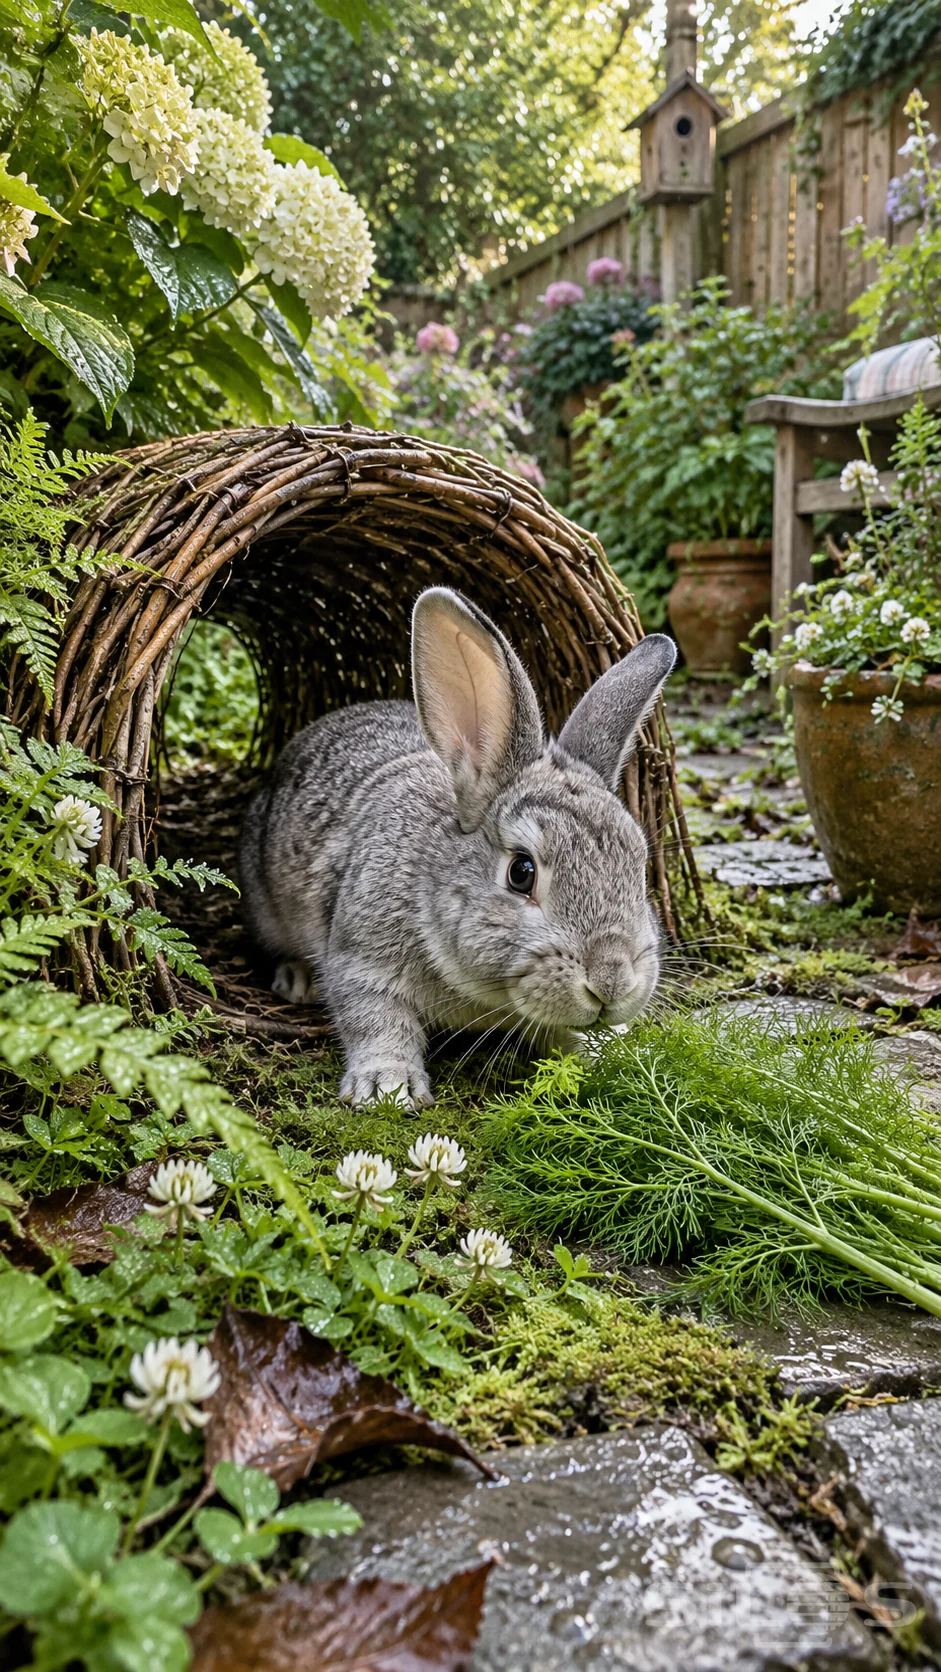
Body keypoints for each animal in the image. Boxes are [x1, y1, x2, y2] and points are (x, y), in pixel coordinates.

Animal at [239, 586, 676, 1109]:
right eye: (521, 872)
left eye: (640, 868)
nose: (612, 982)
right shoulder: (361, 957)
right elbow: (375, 1020)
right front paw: (388, 1088)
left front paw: (617, 1053)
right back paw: (297, 982)